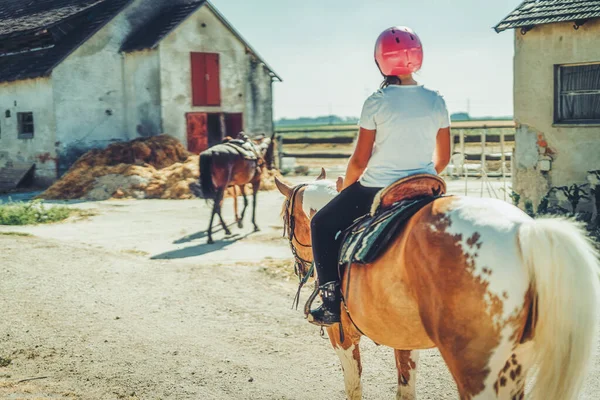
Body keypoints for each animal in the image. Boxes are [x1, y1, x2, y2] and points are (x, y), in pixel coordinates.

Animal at [276, 171, 600, 400]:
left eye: (283, 217)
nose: (299, 267)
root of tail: (524, 230)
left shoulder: (343, 339)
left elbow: (354, 389)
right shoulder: (404, 341)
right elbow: (405, 390)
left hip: (475, 372)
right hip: (515, 365)